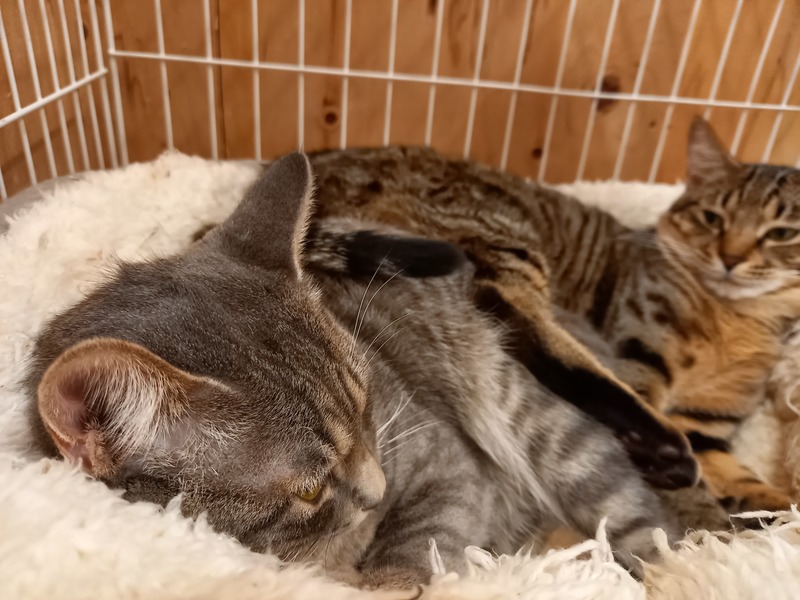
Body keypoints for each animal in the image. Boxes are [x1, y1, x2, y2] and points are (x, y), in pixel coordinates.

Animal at [24, 153, 680, 588]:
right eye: (309, 487)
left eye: (367, 406)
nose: (377, 490)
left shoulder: (443, 457)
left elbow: (427, 532)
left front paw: (394, 575)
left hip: (548, 429)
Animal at [306, 118, 798, 512]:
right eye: (714, 218)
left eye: (781, 234)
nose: (731, 257)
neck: (736, 319)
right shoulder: (639, 356)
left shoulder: (709, 423)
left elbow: (739, 475)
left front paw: (771, 510)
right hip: (501, 239)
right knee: (517, 321)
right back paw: (661, 450)